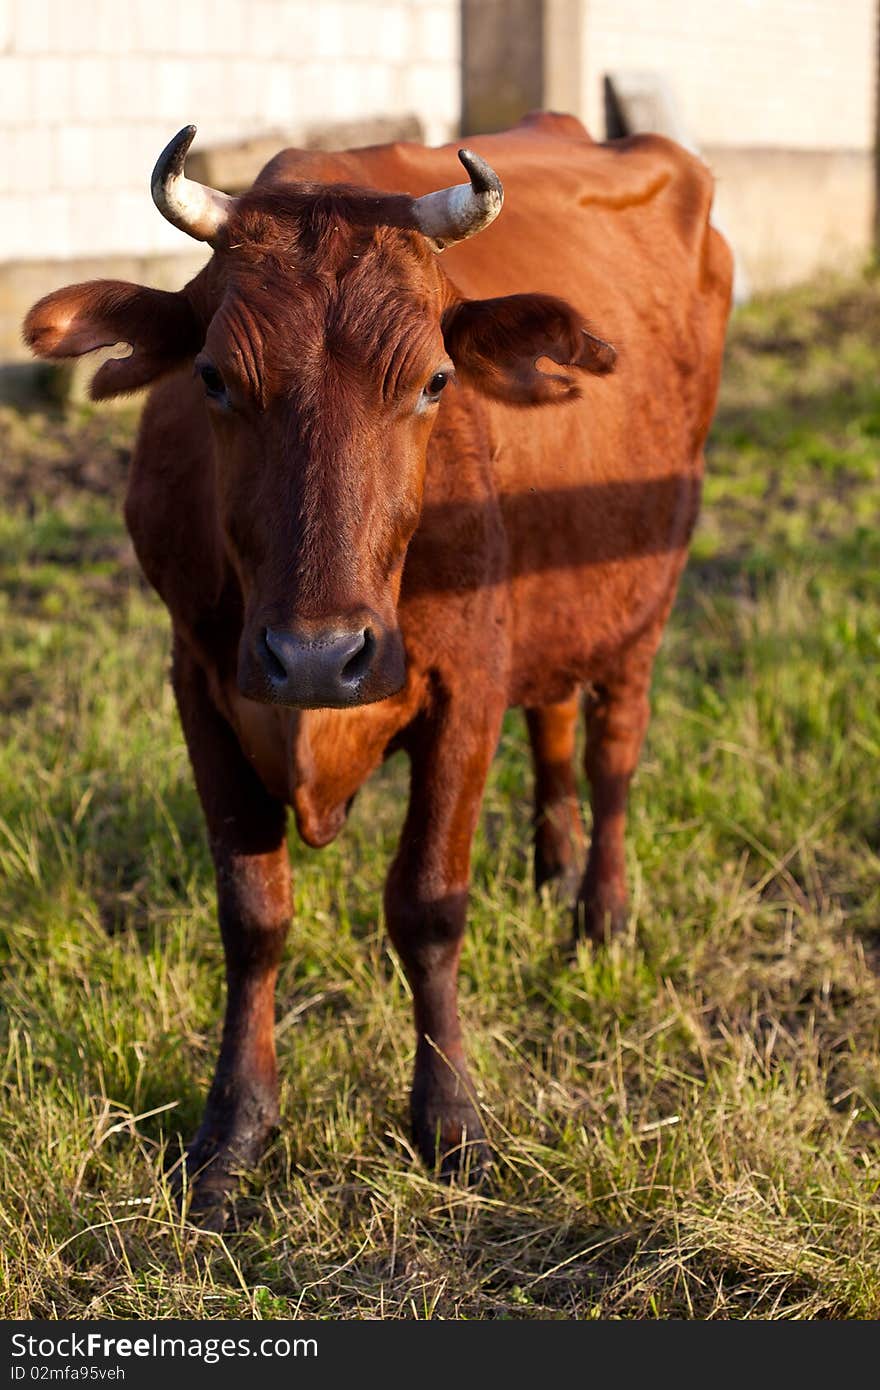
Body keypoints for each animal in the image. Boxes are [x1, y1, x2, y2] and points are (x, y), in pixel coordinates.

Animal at [23, 113, 728, 1223]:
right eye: (213, 378)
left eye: (434, 380)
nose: (317, 655)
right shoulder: (200, 683)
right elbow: (253, 914)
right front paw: (234, 1132)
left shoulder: (467, 681)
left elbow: (429, 905)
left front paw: (450, 1121)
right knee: (556, 725)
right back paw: (550, 868)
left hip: (645, 585)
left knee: (613, 745)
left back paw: (600, 912)